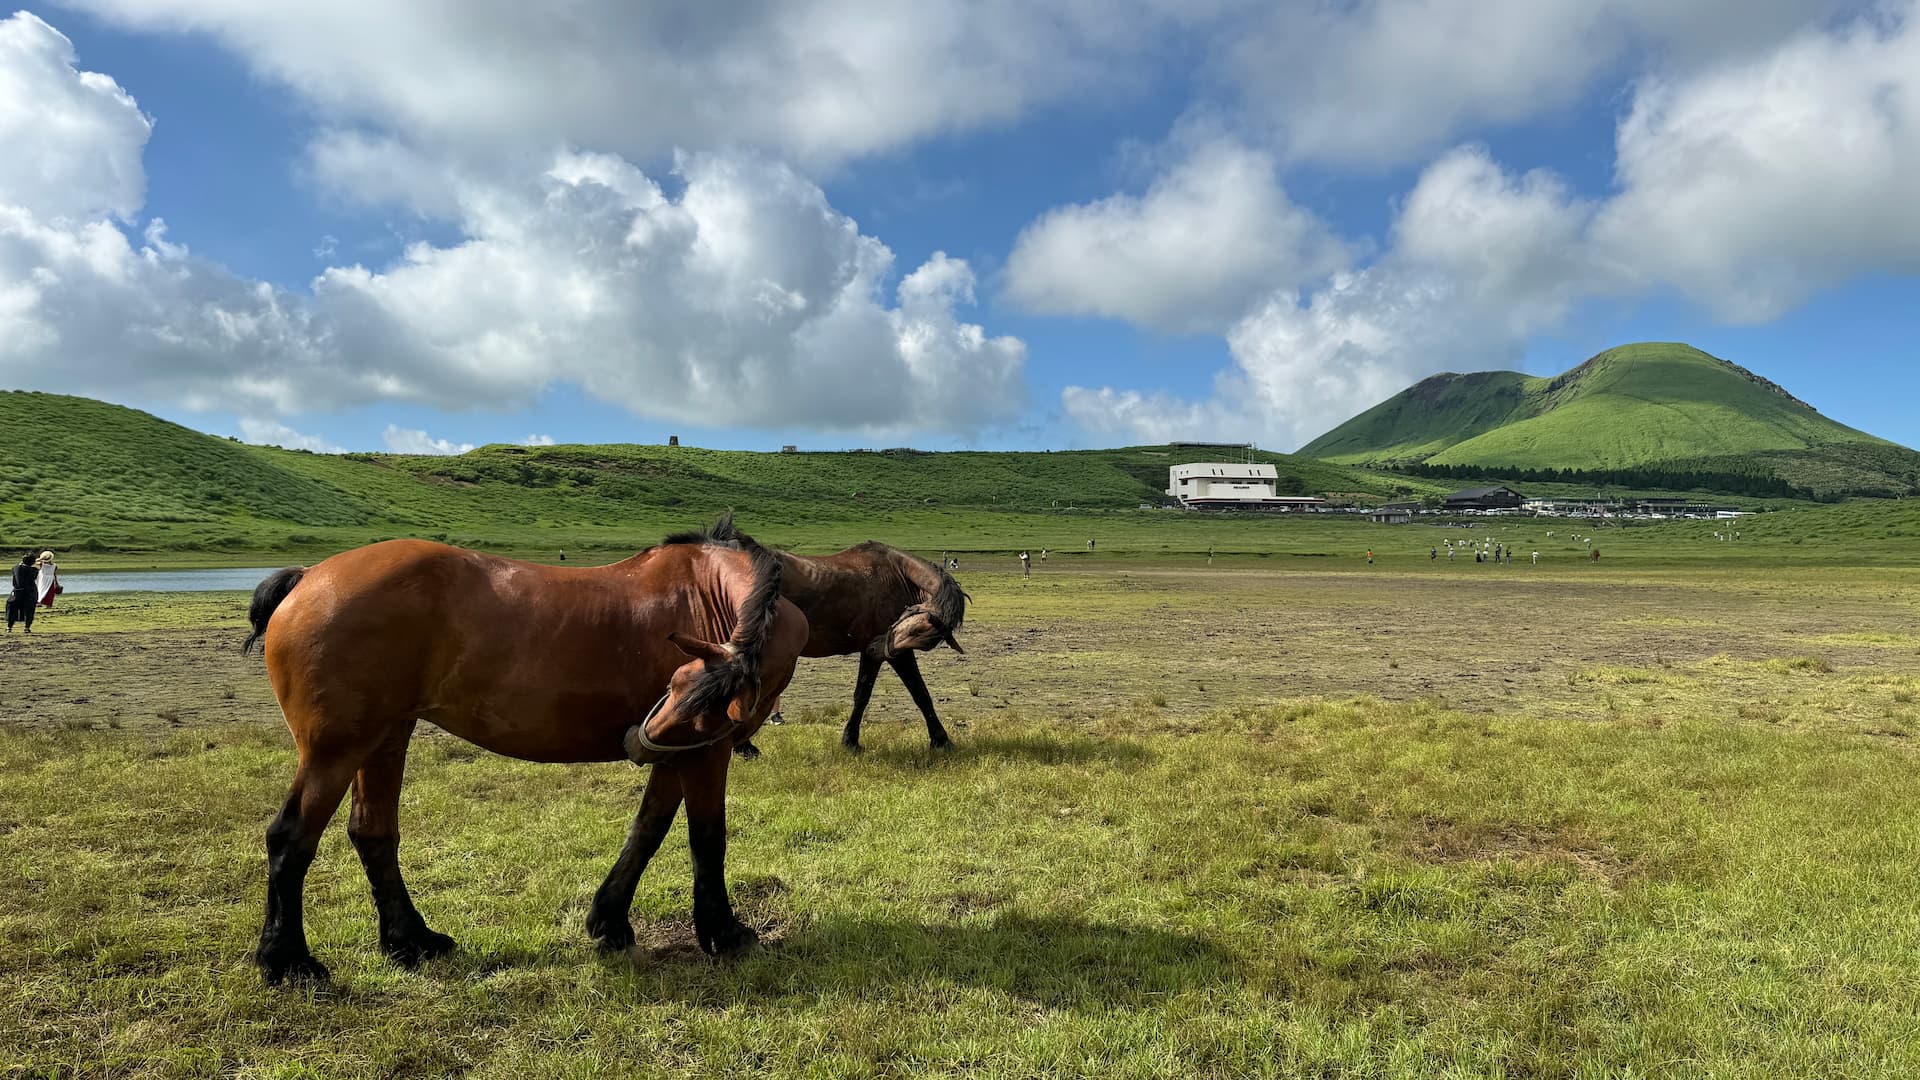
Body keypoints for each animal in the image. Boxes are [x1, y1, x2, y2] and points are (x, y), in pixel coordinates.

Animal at [241, 534, 810, 980]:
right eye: (676, 687)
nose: (637, 743)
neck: (705, 591)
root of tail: (309, 577)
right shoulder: (704, 753)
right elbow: (707, 839)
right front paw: (725, 932)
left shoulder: (679, 752)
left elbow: (647, 831)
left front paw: (610, 921)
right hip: (335, 752)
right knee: (291, 837)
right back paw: (288, 960)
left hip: (384, 738)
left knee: (373, 834)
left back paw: (412, 941)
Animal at [675, 518, 975, 753]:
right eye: (910, 626)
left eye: (924, 640)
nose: (878, 645)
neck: (897, 574)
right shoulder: (891, 653)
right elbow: (914, 693)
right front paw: (941, 740)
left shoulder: (880, 652)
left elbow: (869, 694)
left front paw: (852, 741)